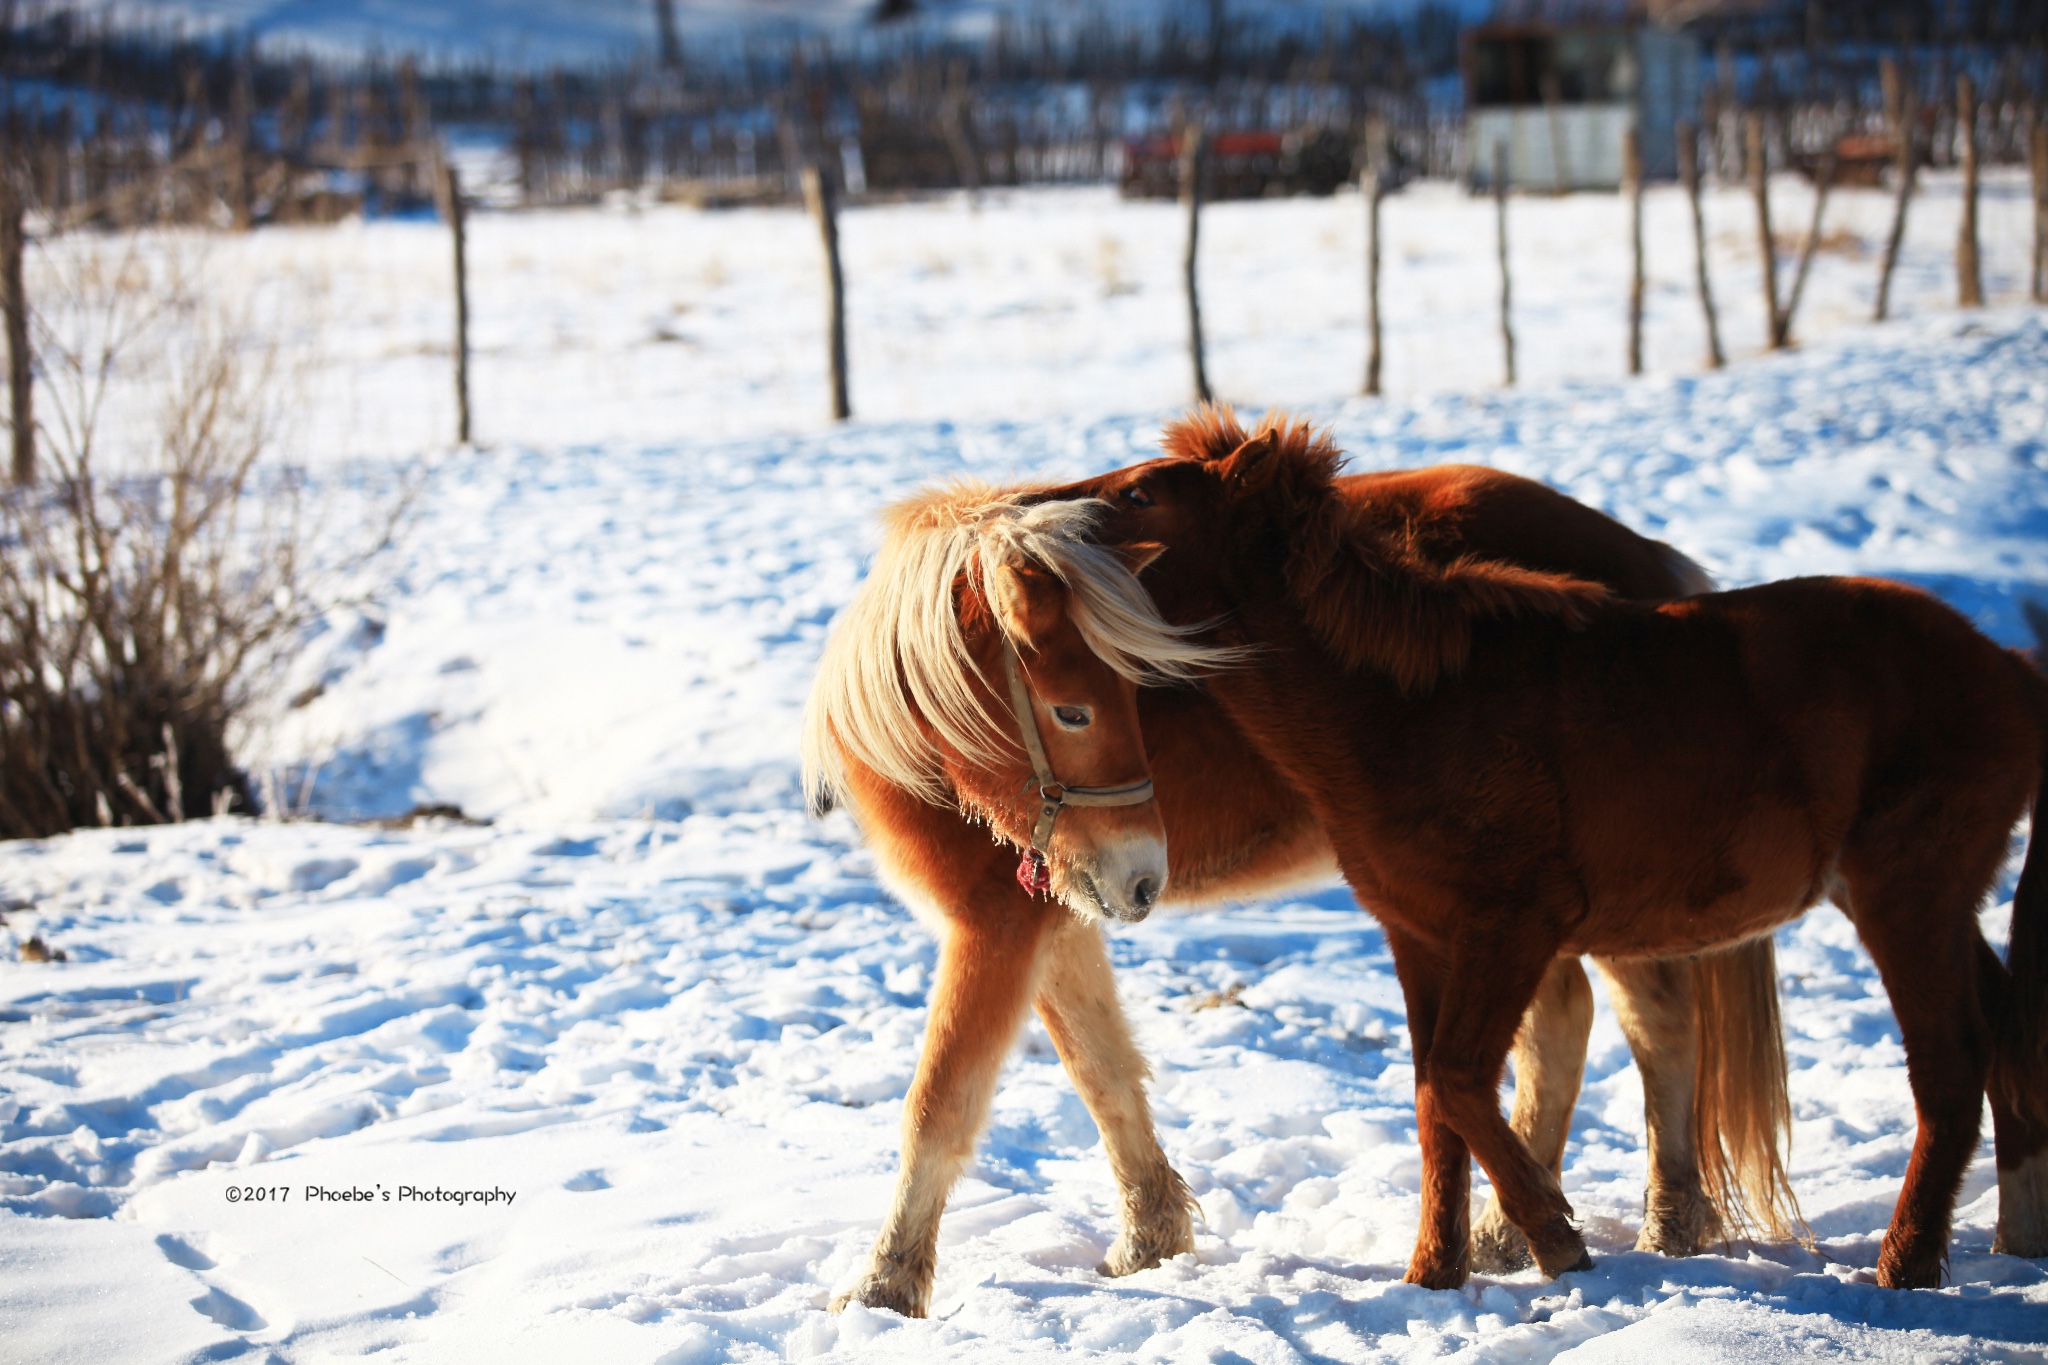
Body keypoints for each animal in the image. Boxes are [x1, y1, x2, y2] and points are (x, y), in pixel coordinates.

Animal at [798, 466, 1794, 1309]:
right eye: (1074, 710)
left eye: (1117, 700)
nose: (1146, 873)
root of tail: (1642, 560)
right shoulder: (1058, 915)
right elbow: (1102, 1072)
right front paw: (1150, 1240)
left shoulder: (995, 927)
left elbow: (941, 1102)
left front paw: (884, 1287)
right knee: (1563, 1025)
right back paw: (1512, 1229)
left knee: (1655, 1022)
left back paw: (1662, 1221)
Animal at [1040, 411, 2048, 1285]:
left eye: (1140, 495)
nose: (1037, 527)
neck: (1407, 705)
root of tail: (2008, 666)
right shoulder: (1422, 936)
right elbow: (1433, 1100)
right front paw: (1435, 1273)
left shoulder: (1513, 924)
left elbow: (1457, 1081)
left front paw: (1552, 1239)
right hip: (1936, 900)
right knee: (2004, 1025)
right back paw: (2014, 1235)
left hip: (1905, 894)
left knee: (1950, 1060)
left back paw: (1905, 1266)